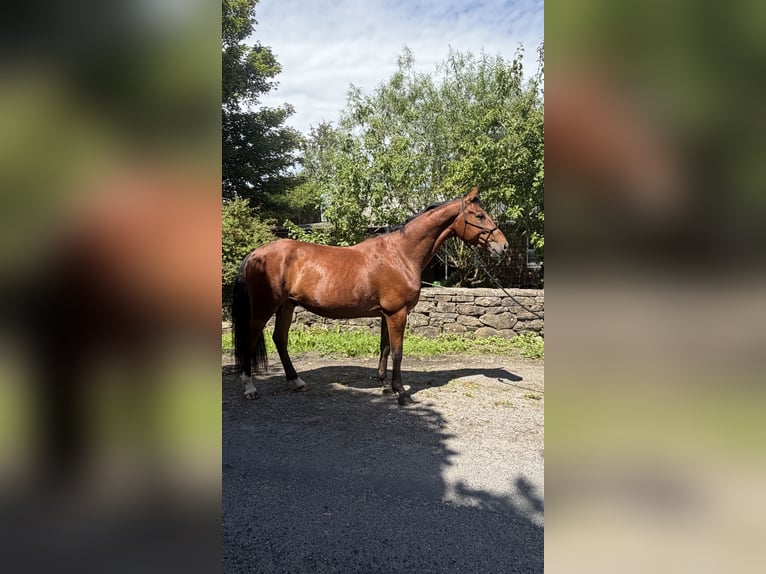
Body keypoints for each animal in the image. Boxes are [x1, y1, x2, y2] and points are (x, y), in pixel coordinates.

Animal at [232, 186, 509, 405]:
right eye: (479, 215)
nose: (503, 246)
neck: (400, 254)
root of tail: (254, 254)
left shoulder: (387, 314)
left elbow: (385, 349)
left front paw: (385, 387)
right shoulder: (397, 313)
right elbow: (397, 352)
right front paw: (402, 393)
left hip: (287, 306)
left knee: (280, 339)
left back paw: (296, 381)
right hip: (263, 308)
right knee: (249, 340)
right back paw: (249, 388)